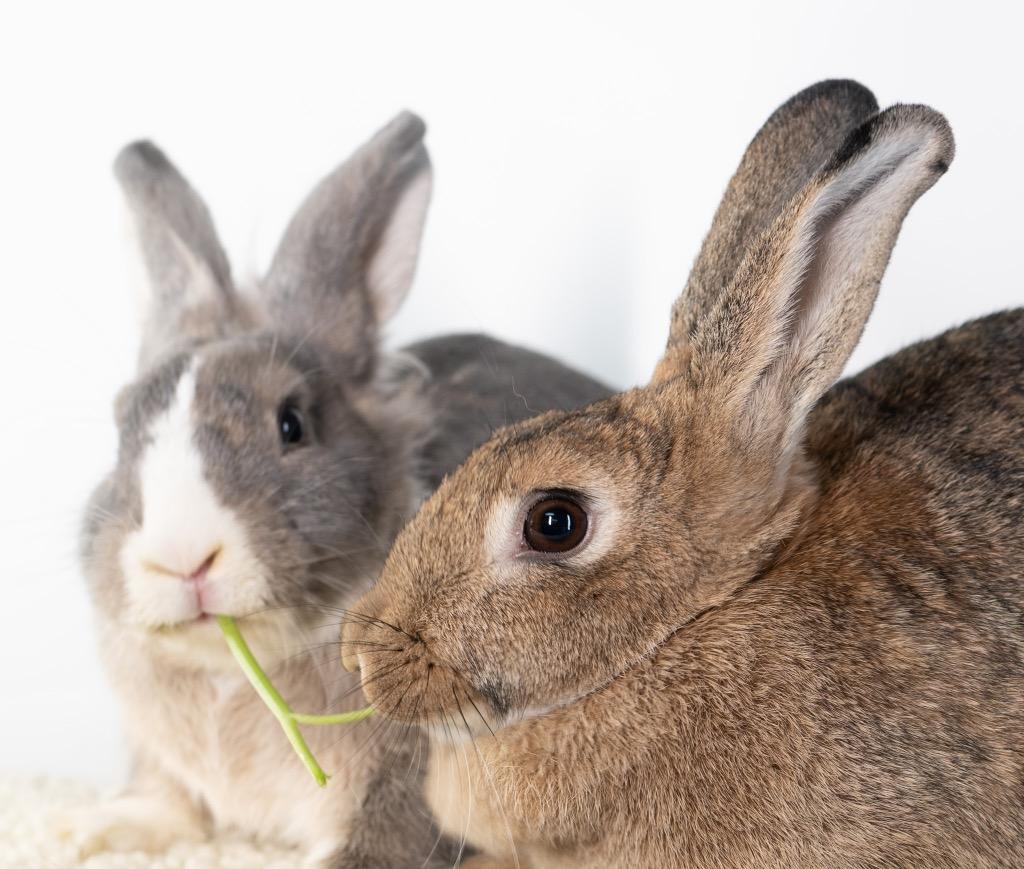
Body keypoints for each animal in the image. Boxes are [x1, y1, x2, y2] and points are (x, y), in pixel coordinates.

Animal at [60, 112, 611, 868]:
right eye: (123, 429)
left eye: (292, 424)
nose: (181, 558)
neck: (238, 668)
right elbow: (166, 800)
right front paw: (92, 833)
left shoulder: (418, 779)